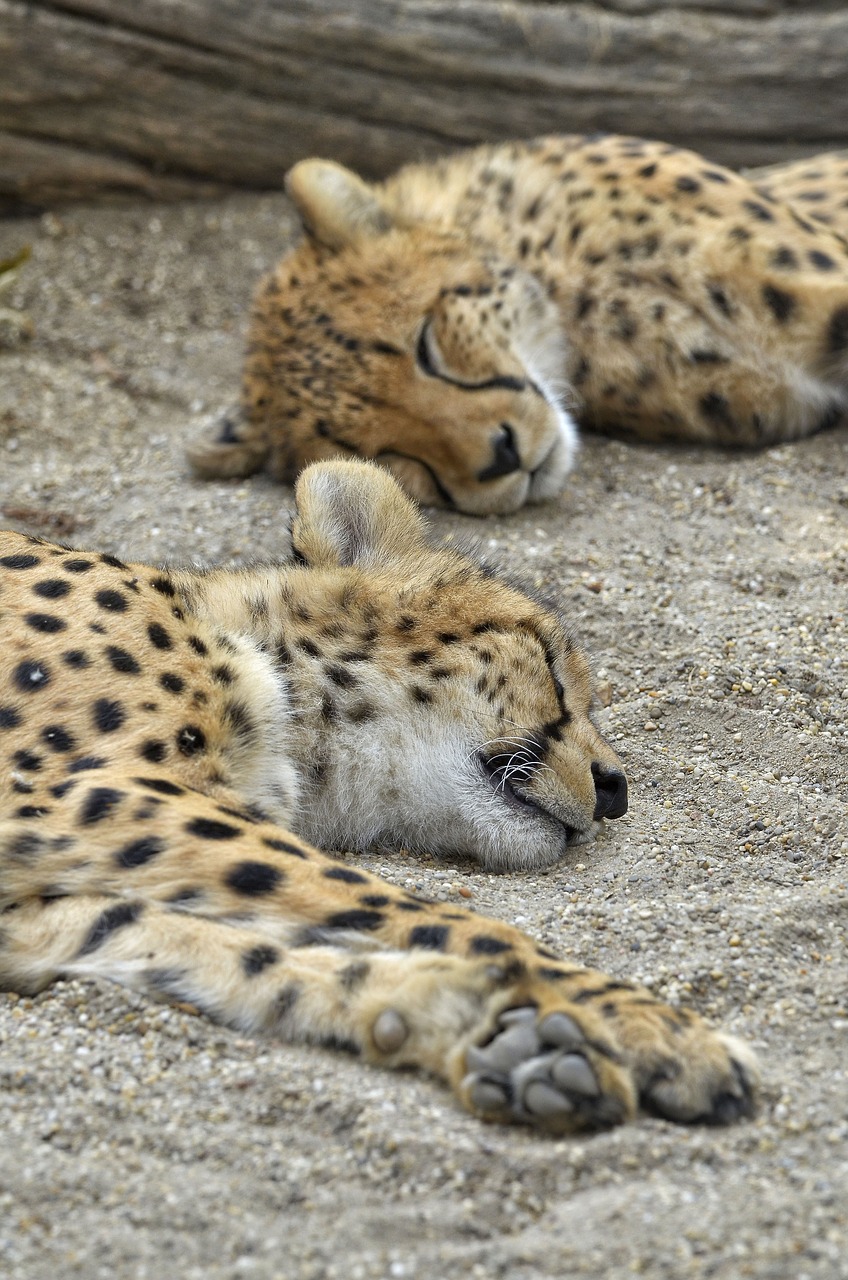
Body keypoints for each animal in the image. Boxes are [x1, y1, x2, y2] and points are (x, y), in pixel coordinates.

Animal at [0, 458, 758, 1131]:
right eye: (548, 663)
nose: (615, 790)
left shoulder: (39, 902)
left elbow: (227, 953)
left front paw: (499, 1036)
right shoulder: (91, 792)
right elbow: (447, 920)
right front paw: (644, 1023)